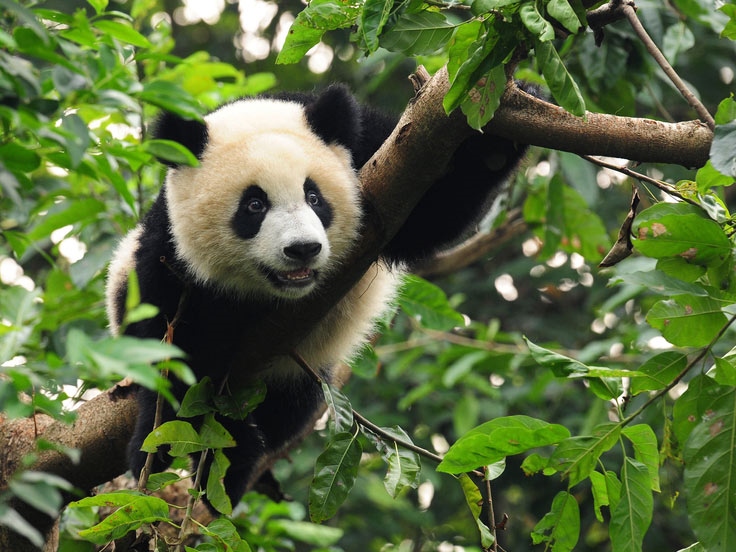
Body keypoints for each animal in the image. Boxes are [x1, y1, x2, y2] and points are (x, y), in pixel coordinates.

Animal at [106, 83, 531, 509]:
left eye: (314, 197)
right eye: (254, 205)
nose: (302, 249)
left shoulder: (375, 153)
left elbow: (431, 213)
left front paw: (501, 131)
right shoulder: (170, 254)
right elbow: (175, 351)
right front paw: (167, 445)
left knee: (288, 411)